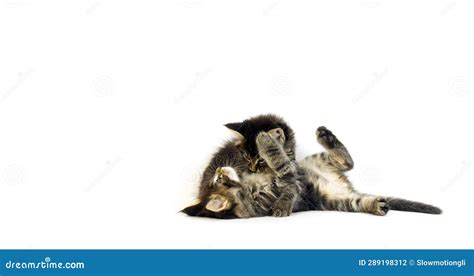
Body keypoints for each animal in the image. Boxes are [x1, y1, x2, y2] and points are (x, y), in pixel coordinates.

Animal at [181, 113, 440, 218]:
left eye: (218, 180)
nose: (218, 171)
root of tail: (343, 187)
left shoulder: (293, 172)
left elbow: (283, 167)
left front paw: (266, 141)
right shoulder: (285, 180)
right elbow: (282, 166)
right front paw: (267, 141)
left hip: (319, 160)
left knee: (347, 160)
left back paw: (327, 136)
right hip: (341, 201)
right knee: (356, 192)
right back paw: (378, 205)